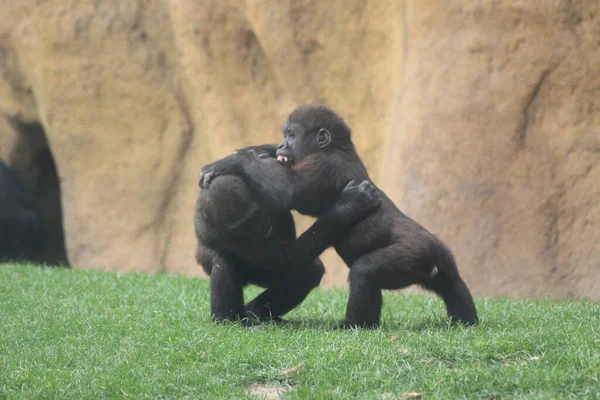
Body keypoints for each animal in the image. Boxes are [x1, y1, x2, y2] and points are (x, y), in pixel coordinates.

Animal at [195, 145, 380, 324]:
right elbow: (286, 258)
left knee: (308, 272)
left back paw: (257, 313)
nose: (261, 228)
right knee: (223, 260)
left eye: (256, 215)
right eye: (245, 226)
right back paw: (229, 318)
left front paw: (249, 155)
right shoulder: (229, 236)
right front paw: (348, 207)